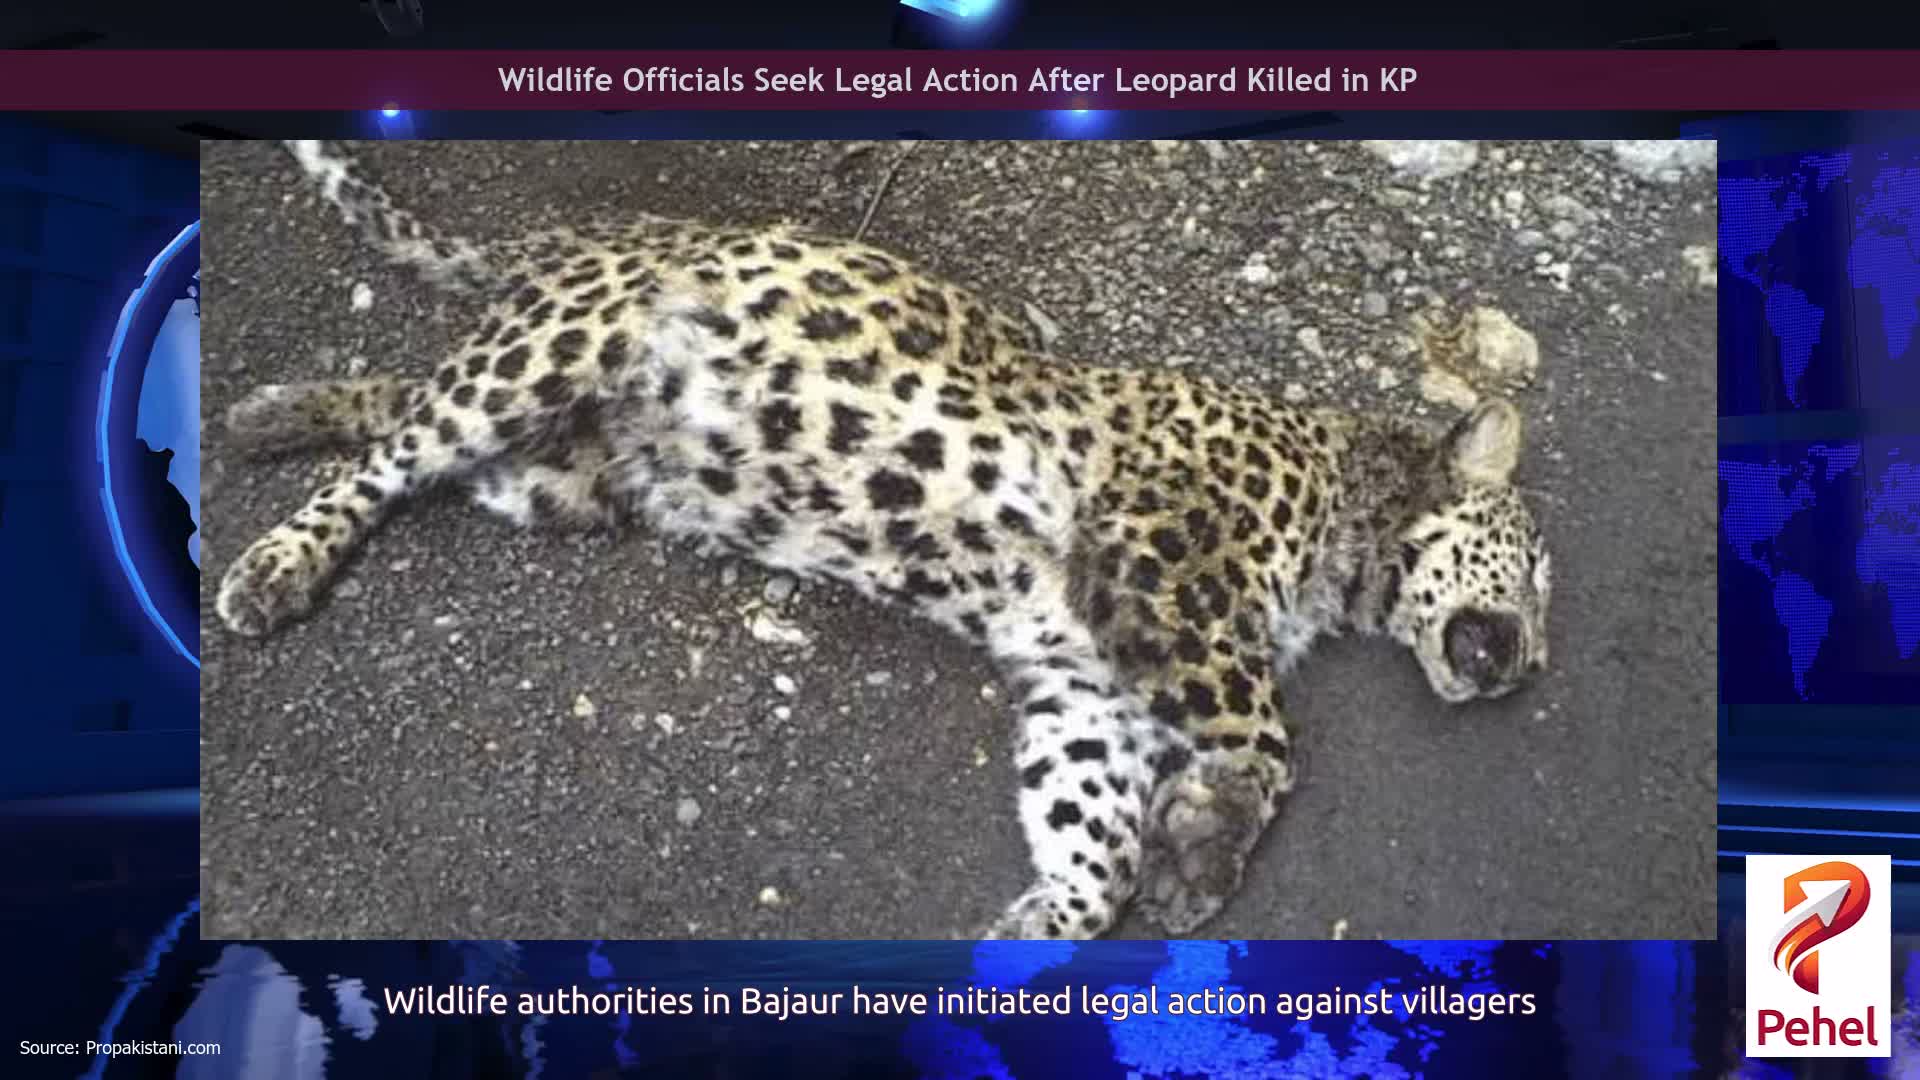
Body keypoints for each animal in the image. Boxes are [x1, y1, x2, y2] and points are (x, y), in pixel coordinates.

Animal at [214, 140, 1554, 940]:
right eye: (1540, 572)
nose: (1531, 665)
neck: (1346, 510)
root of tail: (585, 238)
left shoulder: (1088, 678)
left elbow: (1093, 828)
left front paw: (1046, 928)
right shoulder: (1167, 558)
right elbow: (1268, 736)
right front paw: (1207, 850)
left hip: (563, 471)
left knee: (399, 403)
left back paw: (270, 411)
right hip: (554, 355)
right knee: (393, 452)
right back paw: (272, 564)